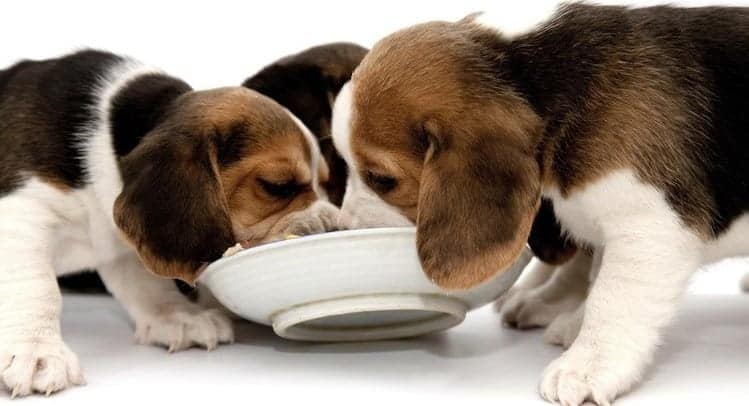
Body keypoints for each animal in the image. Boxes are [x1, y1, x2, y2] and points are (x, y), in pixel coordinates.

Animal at [0, 50, 334, 396]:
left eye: (326, 181)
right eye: (277, 186)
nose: (332, 224)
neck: (111, 138)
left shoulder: (118, 243)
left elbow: (147, 283)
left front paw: (179, 317)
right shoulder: (23, 215)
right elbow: (37, 288)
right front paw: (37, 351)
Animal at [334, 4, 748, 404]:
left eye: (382, 180)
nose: (345, 227)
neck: (527, 74)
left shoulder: (648, 226)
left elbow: (611, 299)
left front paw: (586, 365)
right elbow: (594, 276)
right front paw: (572, 322)